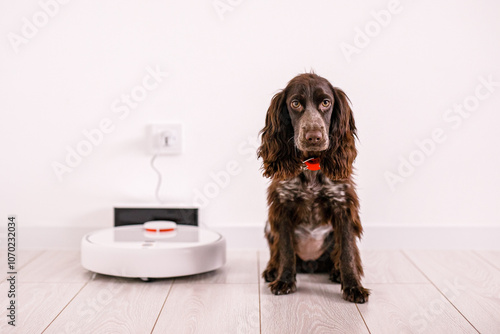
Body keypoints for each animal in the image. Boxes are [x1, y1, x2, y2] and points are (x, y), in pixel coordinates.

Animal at [258, 72, 368, 302]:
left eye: (326, 102)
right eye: (295, 103)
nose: (314, 137)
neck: (311, 165)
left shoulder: (344, 206)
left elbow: (347, 251)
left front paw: (353, 286)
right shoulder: (282, 206)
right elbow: (286, 249)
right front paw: (284, 280)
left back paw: (336, 272)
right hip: (268, 225)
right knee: (276, 251)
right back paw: (272, 270)